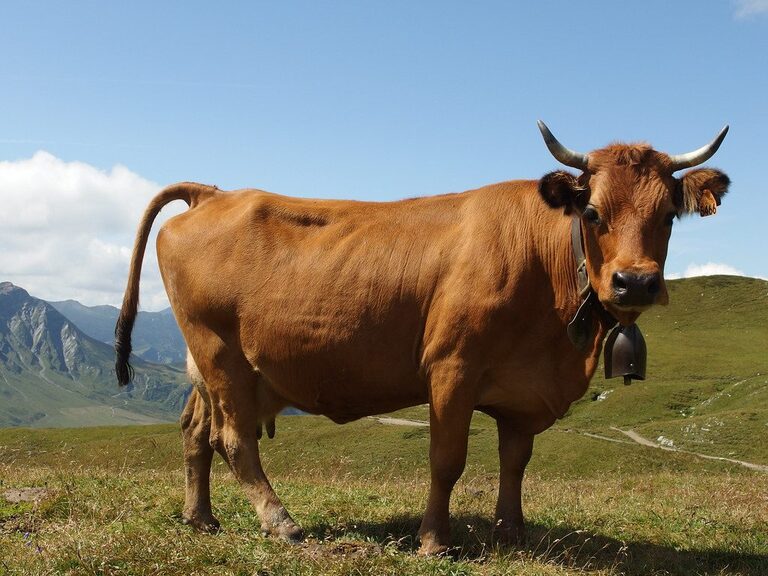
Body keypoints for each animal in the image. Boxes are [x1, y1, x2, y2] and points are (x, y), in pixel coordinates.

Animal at [115, 122, 730, 555]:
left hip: (214, 366)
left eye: (669, 215)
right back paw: (280, 522)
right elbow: (446, 460)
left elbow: (515, 461)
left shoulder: (523, 389)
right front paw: (435, 540)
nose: (635, 282)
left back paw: (201, 518)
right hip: (220, 353)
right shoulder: (452, 368)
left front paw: (513, 534)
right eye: (595, 212)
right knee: (234, 439)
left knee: (195, 432)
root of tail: (215, 193)